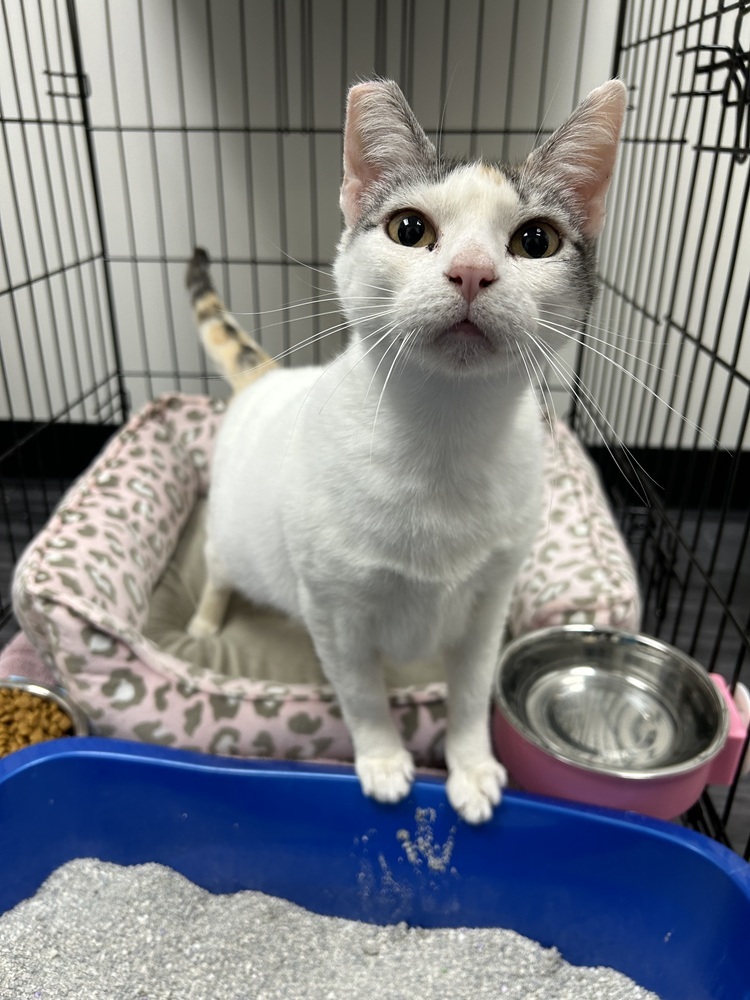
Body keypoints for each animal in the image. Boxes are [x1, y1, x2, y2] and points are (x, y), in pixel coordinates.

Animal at [187, 78, 628, 824]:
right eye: (409, 229)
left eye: (536, 239)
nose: (473, 272)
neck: (442, 436)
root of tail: (268, 377)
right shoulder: (334, 612)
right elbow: (361, 690)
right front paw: (385, 757)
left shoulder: (490, 605)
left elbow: (472, 691)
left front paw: (470, 764)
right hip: (232, 537)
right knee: (217, 566)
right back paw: (203, 618)